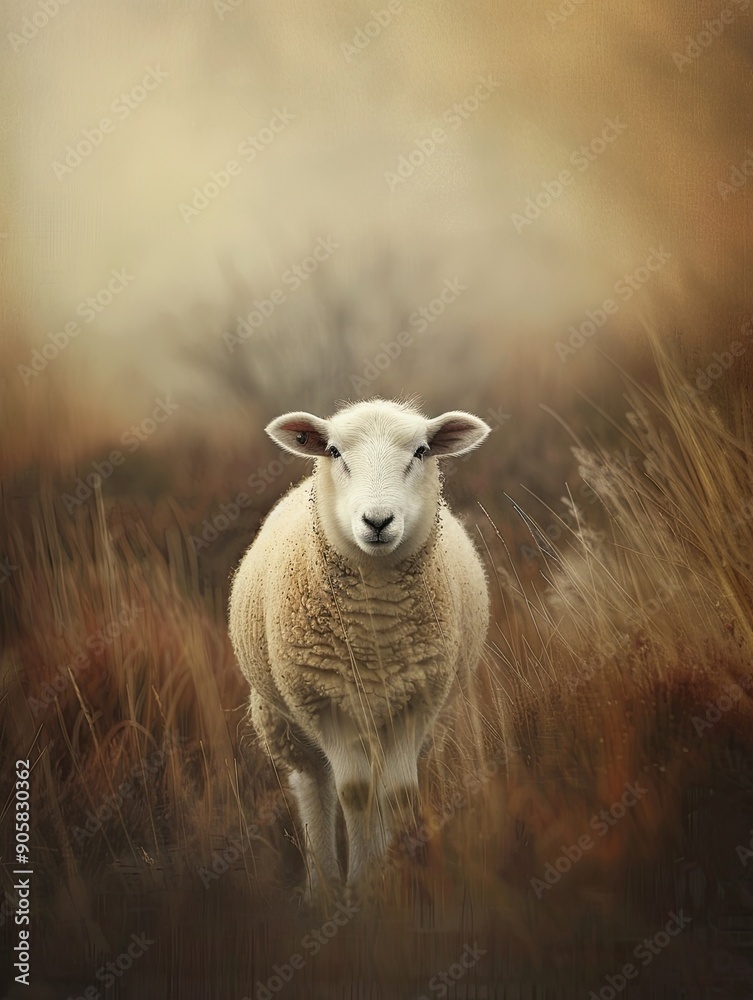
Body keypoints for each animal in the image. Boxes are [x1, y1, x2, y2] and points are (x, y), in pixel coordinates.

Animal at [228, 398, 491, 897]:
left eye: (422, 451)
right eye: (333, 451)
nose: (378, 521)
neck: (375, 630)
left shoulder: (417, 701)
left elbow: (397, 793)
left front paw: (391, 885)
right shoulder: (323, 702)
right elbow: (355, 792)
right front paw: (363, 887)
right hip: (284, 717)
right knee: (314, 784)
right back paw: (322, 887)